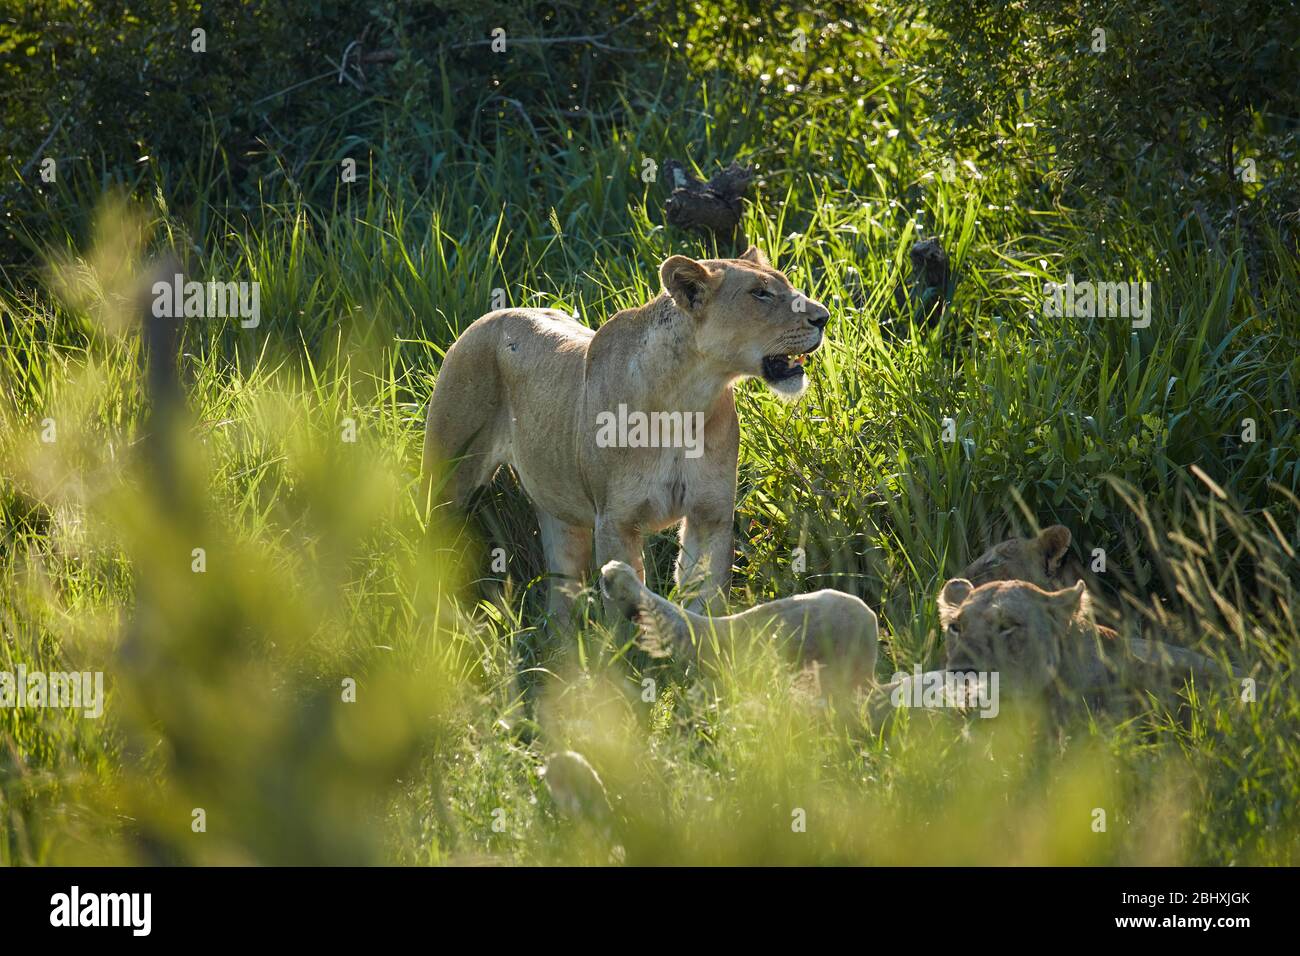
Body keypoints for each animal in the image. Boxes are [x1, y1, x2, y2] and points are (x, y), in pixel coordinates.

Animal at [426, 247, 832, 616]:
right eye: (760, 293)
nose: (823, 317)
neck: (686, 398)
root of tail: (490, 315)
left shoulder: (710, 515)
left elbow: (704, 600)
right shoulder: (615, 523)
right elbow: (625, 608)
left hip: (559, 512)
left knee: (562, 599)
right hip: (448, 480)